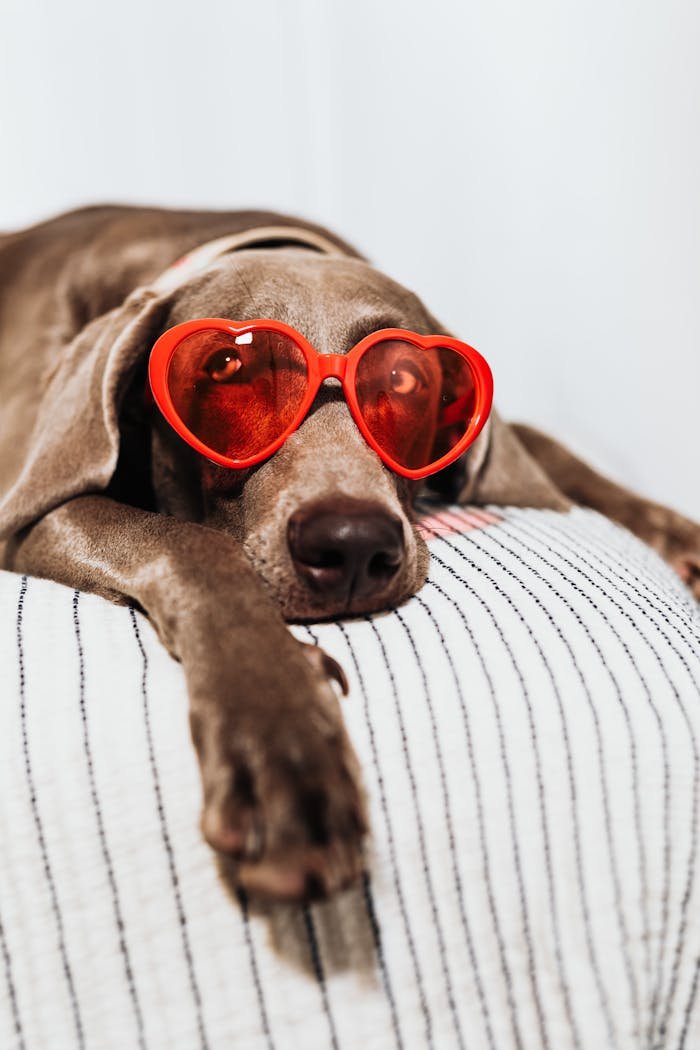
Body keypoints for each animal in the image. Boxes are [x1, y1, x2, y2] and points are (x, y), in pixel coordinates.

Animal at [1, 206, 700, 902]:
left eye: (405, 379)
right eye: (226, 366)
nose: (353, 544)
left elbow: (546, 445)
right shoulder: (26, 510)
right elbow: (189, 542)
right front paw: (280, 740)